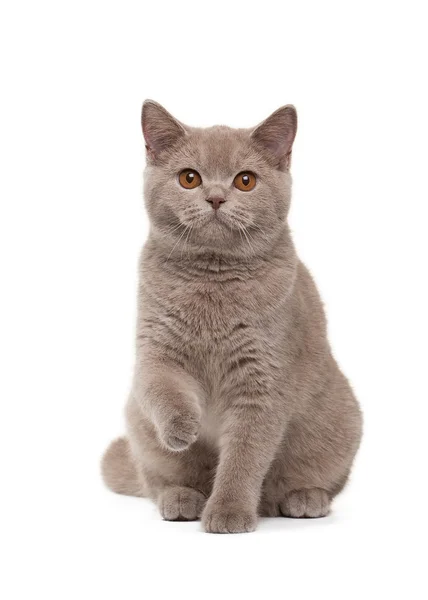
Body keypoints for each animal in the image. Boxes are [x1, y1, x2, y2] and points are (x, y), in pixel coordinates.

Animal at [102, 99, 362, 536]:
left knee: (312, 482)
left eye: (245, 181)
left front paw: (228, 512)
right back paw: (181, 499)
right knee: (156, 481)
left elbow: (244, 456)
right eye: (189, 178)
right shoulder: (157, 351)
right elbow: (163, 387)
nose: (216, 198)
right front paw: (183, 427)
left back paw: (304, 499)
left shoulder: (261, 380)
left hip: (341, 421)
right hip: (138, 424)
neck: (213, 280)